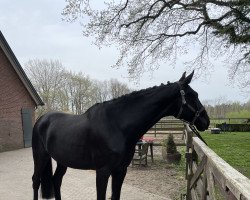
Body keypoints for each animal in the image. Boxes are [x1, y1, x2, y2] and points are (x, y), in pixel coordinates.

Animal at [32, 71, 210, 199]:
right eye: (193, 95)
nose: (206, 121)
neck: (116, 125)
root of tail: (41, 119)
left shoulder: (120, 170)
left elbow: (115, 196)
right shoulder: (103, 172)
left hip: (62, 160)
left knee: (56, 180)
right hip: (40, 156)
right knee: (36, 181)